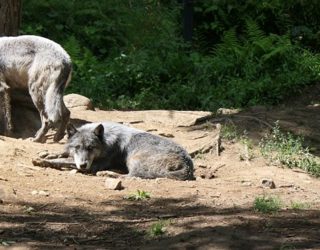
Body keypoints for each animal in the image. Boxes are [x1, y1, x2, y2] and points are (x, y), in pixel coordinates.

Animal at [65, 122, 195, 181]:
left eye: (90, 148)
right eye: (77, 147)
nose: (83, 165)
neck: (107, 139)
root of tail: (188, 164)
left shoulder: (97, 164)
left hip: (133, 159)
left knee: (132, 176)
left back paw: (107, 173)